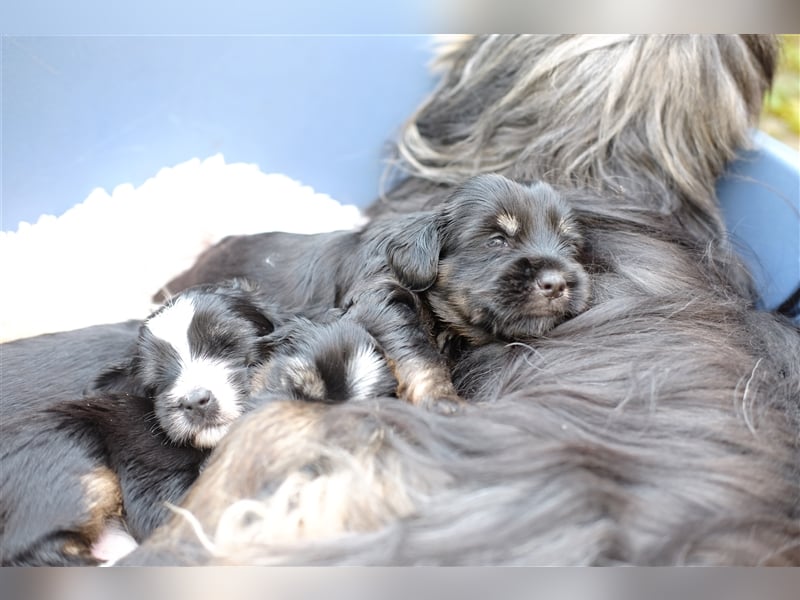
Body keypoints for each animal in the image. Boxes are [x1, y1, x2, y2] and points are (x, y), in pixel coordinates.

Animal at [158, 173, 592, 408]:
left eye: (569, 245)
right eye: (498, 240)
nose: (557, 283)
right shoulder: (381, 299)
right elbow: (418, 353)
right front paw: (443, 401)